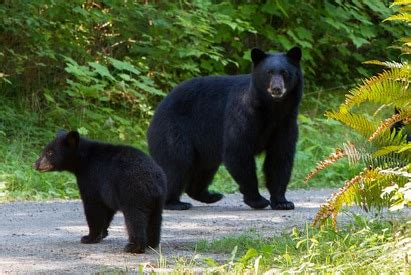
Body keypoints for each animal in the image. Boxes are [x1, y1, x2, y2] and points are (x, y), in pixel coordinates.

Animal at [32, 132, 166, 254]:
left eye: (50, 153)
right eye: (46, 150)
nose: (35, 164)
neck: (83, 160)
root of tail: (153, 181)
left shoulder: (92, 178)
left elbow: (93, 207)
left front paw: (89, 237)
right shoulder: (107, 191)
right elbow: (107, 210)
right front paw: (102, 233)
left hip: (133, 192)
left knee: (134, 218)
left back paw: (134, 247)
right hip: (157, 199)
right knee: (155, 219)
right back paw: (151, 243)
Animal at [148, 47, 302, 211]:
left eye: (285, 73)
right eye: (269, 72)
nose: (276, 89)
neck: (272, 109)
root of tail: (157, 109)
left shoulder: (285, 123)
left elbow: (280, 157)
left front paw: (282, 202)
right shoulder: (243, 115)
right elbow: (237, 151)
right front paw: (258, 200)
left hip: (204, 146)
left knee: (203, 168)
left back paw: (211, 196)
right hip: (173, 131)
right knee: (176, 163)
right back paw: (175, 202)